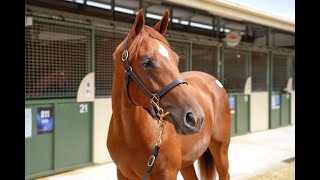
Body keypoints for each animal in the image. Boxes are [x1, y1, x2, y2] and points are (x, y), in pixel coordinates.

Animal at [107, 9, 230, 180]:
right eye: (146, 62)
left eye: (176, 59)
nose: (196, 118)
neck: (128, 135)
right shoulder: (123, 174)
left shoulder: (167, 173)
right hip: (187, 163)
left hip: (220, 149)